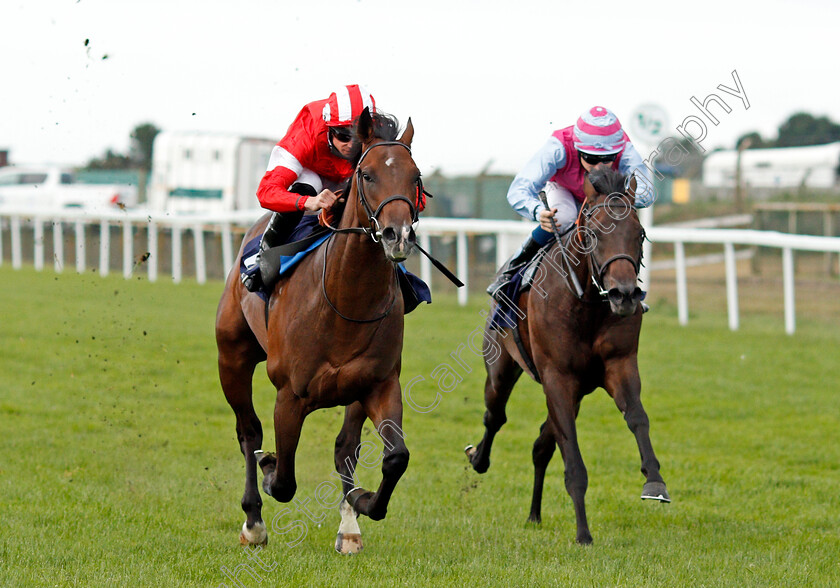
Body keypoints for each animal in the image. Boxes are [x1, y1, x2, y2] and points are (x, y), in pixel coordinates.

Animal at [217, 108, 420, 552]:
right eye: (368, 175)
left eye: (415, 176)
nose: (398, 235)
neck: (346, 300)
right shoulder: (290, 396)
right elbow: (284, 481)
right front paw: (270, 467)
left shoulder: (378, 384)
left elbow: (393, 457)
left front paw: (361, 505)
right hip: (232, 357)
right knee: (248, 432)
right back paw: (253, 522)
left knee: (345, 447)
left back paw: (349, 523)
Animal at [466, 165, 668, 544]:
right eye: (594, 234)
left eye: (640, 233)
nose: (624, 295)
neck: (586, 302)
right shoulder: (557, 378)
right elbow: (572, 456)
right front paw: (583, 533)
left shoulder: (618, 366)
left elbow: (637, 417)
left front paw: (655, 482)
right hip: (501, 366)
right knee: (495, 415)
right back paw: (478, 458)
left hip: (574, 392)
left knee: (540, 445)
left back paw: (534, 514)